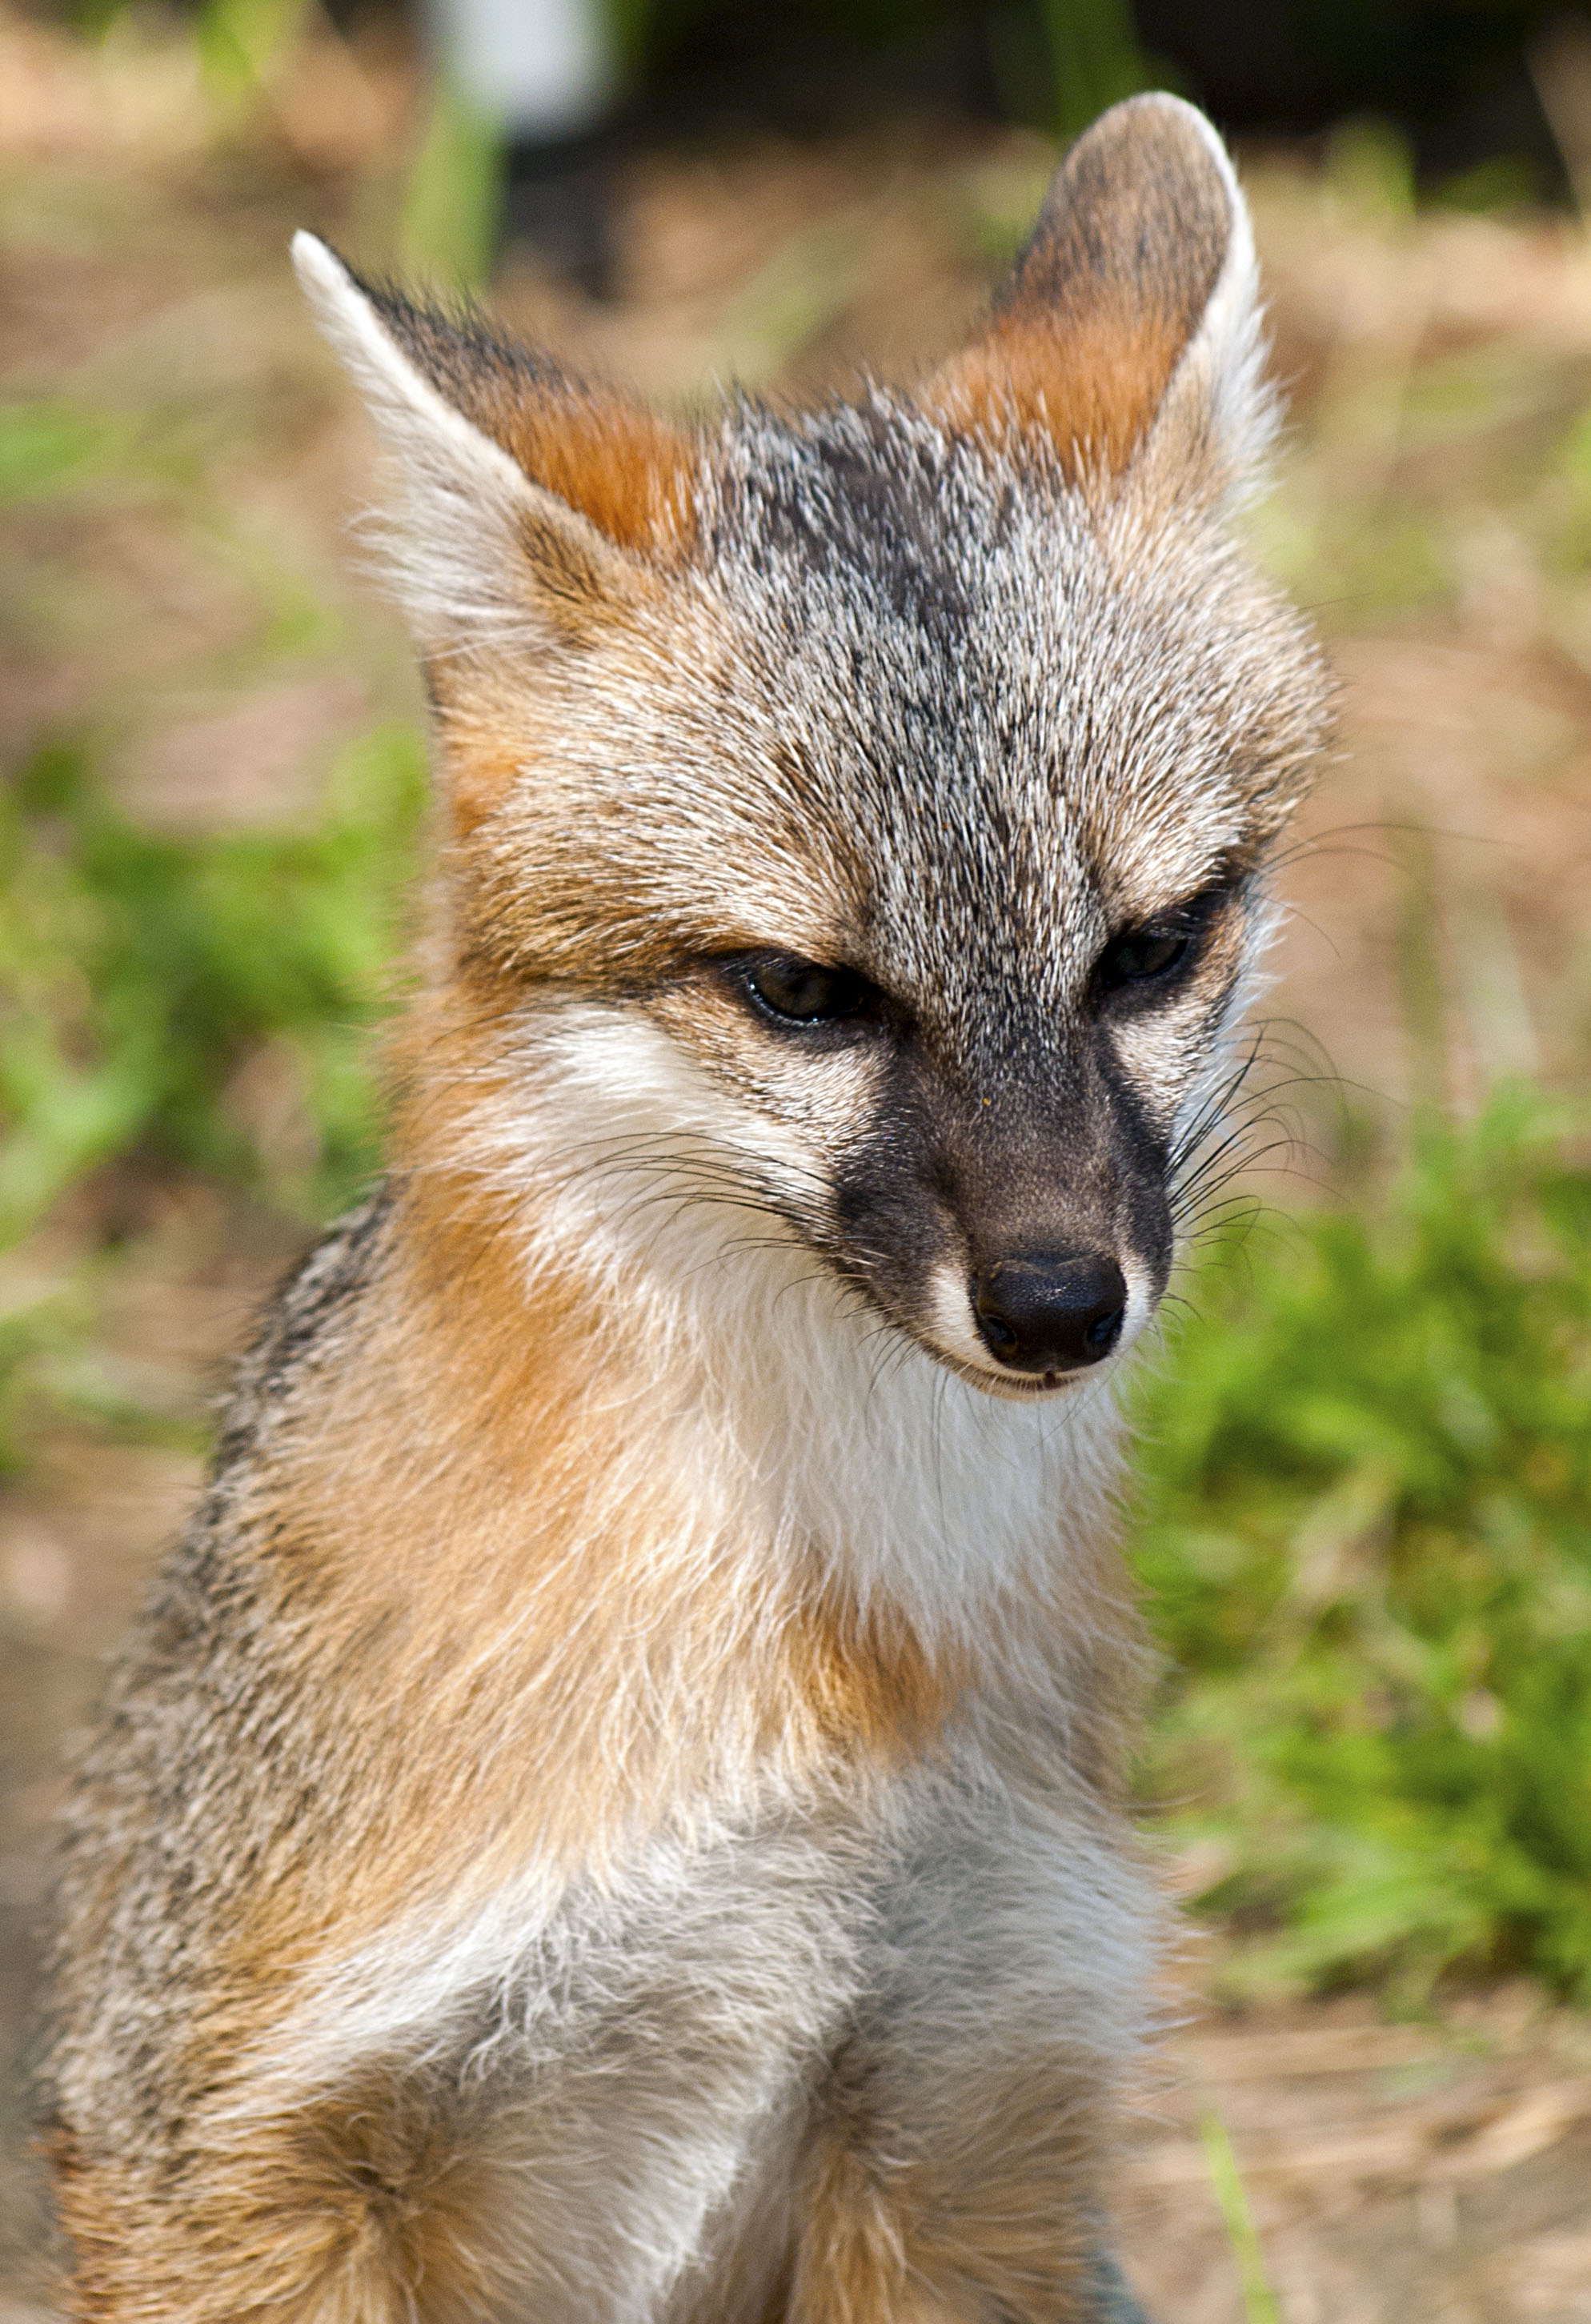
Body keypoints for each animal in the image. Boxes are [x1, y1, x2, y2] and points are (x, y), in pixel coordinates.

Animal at [43, 92, 1329, 2324]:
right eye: (802, 991)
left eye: (1153, 949)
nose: (1061, 1300)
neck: (819, 1652)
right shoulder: (234, 2138)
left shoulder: (976, 2095)